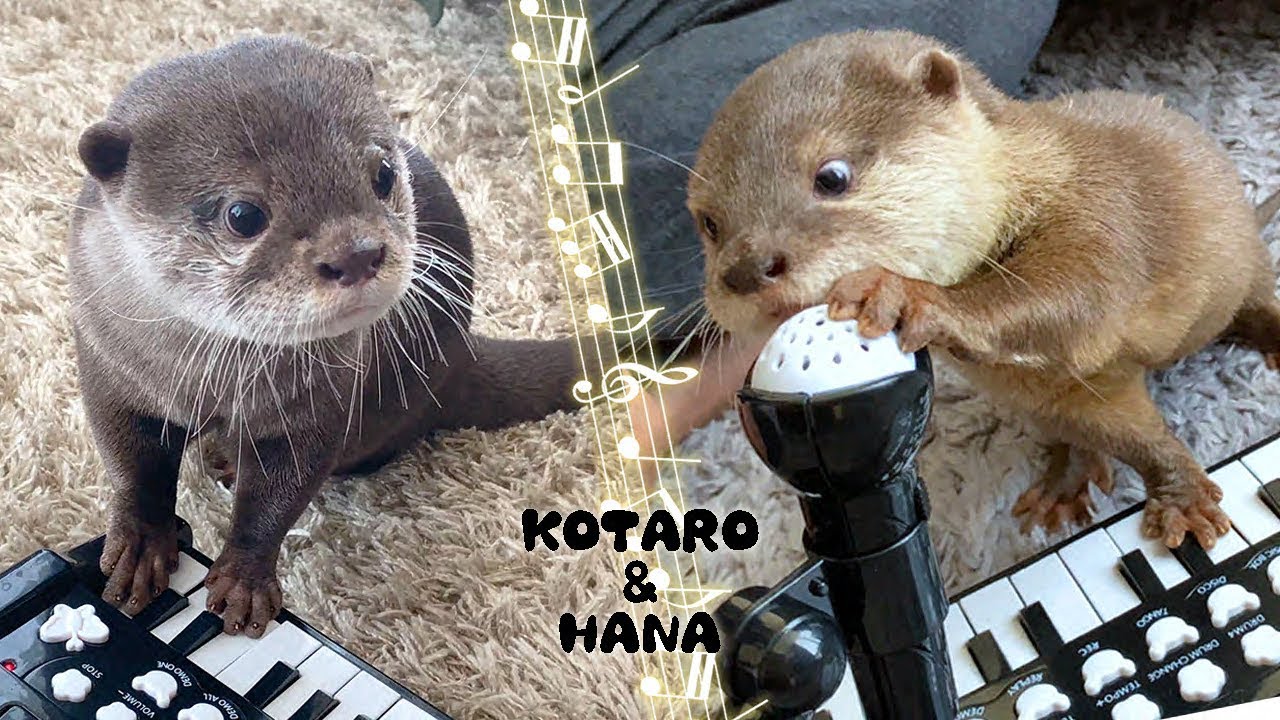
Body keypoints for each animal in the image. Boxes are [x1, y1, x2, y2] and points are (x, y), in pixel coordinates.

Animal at [69, 36, 588, 637]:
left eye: (383, 174)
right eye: (242, 214)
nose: (356, 253)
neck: (200, 377)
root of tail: (461, 356)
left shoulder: (320, 404)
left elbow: (279, 496)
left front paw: (244, 580)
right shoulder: (106, 363)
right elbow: (131, 462)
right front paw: (140, 548)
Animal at [687, 30, 1280, 550]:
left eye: (831, 176)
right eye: (710, 223)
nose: (746, 269)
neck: (1040, 177)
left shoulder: (1102, 215)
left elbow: (1075, 294)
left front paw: (902, 294)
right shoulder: (1072, 396)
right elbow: (1130, 433)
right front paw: (1166, 490)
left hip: (1246, 267)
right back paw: (1065, 480)